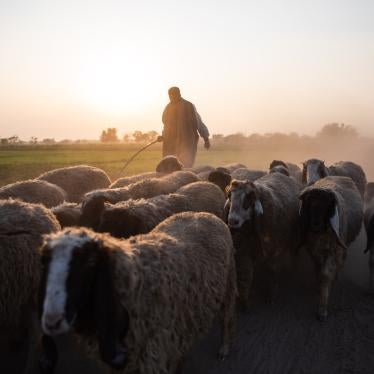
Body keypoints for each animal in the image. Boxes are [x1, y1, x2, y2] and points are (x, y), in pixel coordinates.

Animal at [38, 213, 237, 374]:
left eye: (90, 261)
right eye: (44, 261)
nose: (52, 321)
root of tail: (204, 213)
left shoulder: (153, 353)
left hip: (227, 286)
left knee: (227, 319)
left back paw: (224, 348)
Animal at [225, 174, 300, 312]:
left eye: (248, 198)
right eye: (229, 196)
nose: (232, 221)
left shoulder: (274, 251)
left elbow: (272, 272)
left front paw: (271, 295)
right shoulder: (244, 252)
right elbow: (246, 276)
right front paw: (245, 302)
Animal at [298, 177, 362, 320]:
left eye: (326, 204)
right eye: (309, 203)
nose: (315, 224)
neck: (321, 233)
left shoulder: (335, 251)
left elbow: (326, 274)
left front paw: (322, 309)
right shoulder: (314, 250)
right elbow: (318, 269)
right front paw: (318, 286)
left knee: (339, 264)